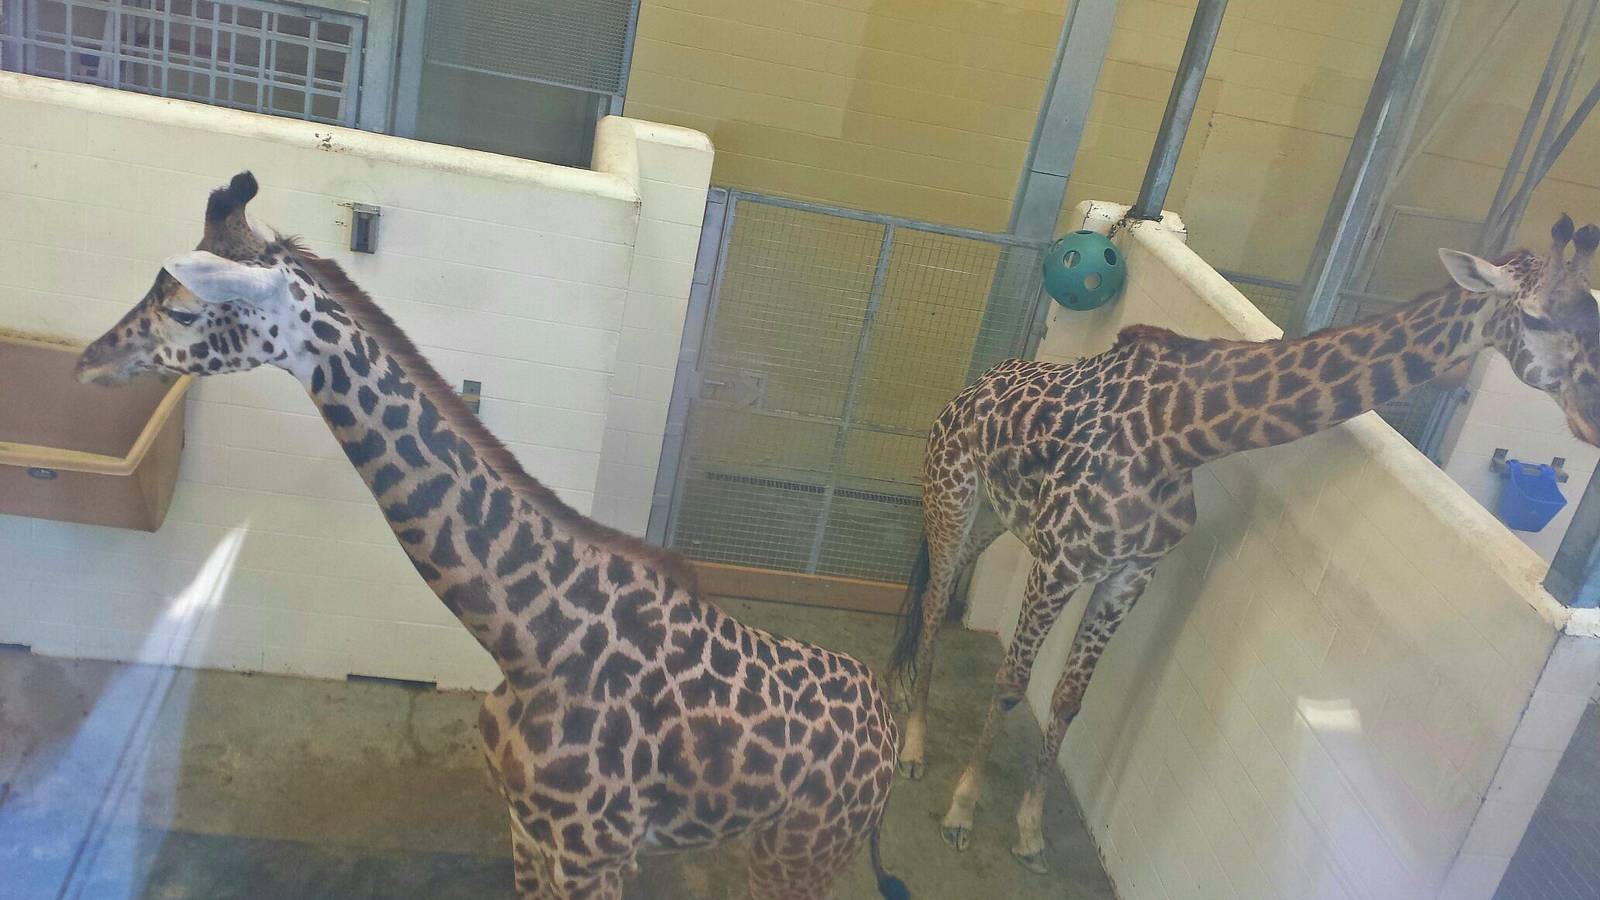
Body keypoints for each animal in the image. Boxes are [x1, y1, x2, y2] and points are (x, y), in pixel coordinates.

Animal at [75, 172, 911, 900]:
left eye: (184, 310)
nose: (88, 361)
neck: (526, 643)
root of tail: (888, 727)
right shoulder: (529, 833)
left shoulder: (596, 855)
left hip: (802, 851)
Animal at [888, 215, 1600, 872]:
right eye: (1535, 317)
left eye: (1594, 311)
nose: (1591, 415)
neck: (1180, 434)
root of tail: (965, 393)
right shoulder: (1061, 563)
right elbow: (1012, 681)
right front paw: (962, 811)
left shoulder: (1129, 575)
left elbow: (1067, 700)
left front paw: (1030, 831)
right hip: (951, 496)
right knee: (933, 602)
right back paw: (914, 748)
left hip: (992, 518)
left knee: (939, 591)